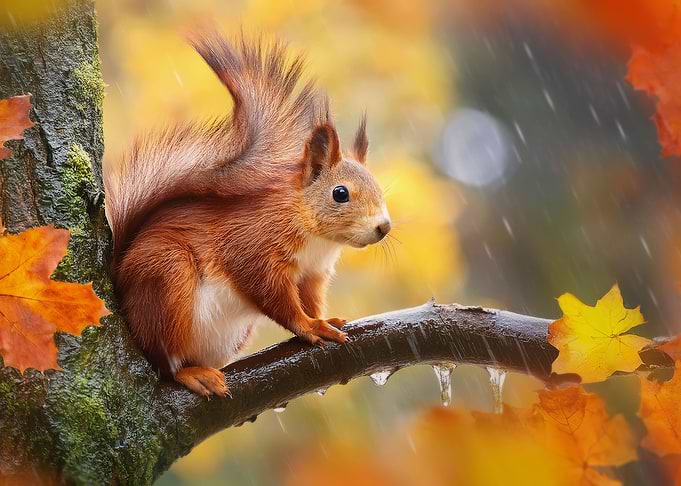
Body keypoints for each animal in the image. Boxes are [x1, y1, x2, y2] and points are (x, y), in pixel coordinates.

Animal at [103, 31, 391, 397]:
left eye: (379, 188)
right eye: (340, 193)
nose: (384, 227)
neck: (316, 237)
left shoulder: (312, 273)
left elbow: (310, 299)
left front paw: (323, 319)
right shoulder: (253, 247)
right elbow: (274, 296)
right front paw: (309, 326)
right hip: (167, 276)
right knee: (165, 363)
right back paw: (191, 374)